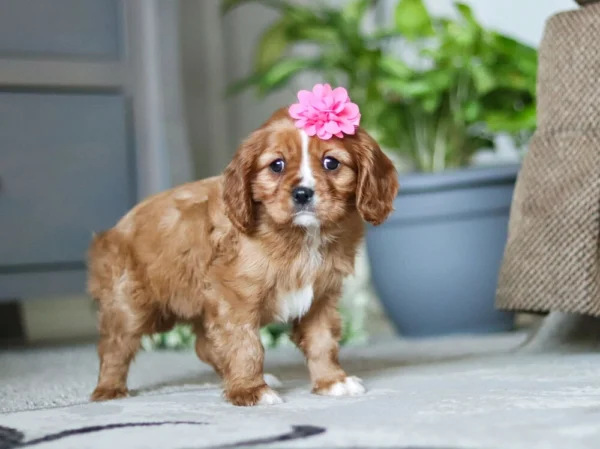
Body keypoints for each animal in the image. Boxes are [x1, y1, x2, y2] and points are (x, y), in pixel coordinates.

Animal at [88, 106, 398, 406]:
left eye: (331, 163)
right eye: (277, 165)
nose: (302, 193)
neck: (301, 236)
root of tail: (113, 230)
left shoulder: (321, 297)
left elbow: (322, 342)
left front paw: (332, 382)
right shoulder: (234, 298)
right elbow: (245, 345)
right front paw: (250, 391)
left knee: (203, 345)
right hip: (129, 305)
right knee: (115, 346)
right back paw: (108, 390)